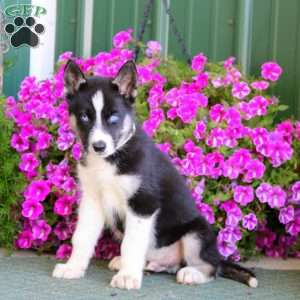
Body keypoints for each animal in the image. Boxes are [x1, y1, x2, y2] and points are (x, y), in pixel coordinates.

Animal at [52, 59, 258, 290]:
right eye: (84, 117)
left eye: (113, 116)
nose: (99, 146)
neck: (111, 159)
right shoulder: (92, 199)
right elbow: (82, 236)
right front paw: (73, 268)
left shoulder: (144, 202)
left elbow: (131, 243)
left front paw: (127, 277)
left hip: (197, 231)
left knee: (211, 267)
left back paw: (191, 273)